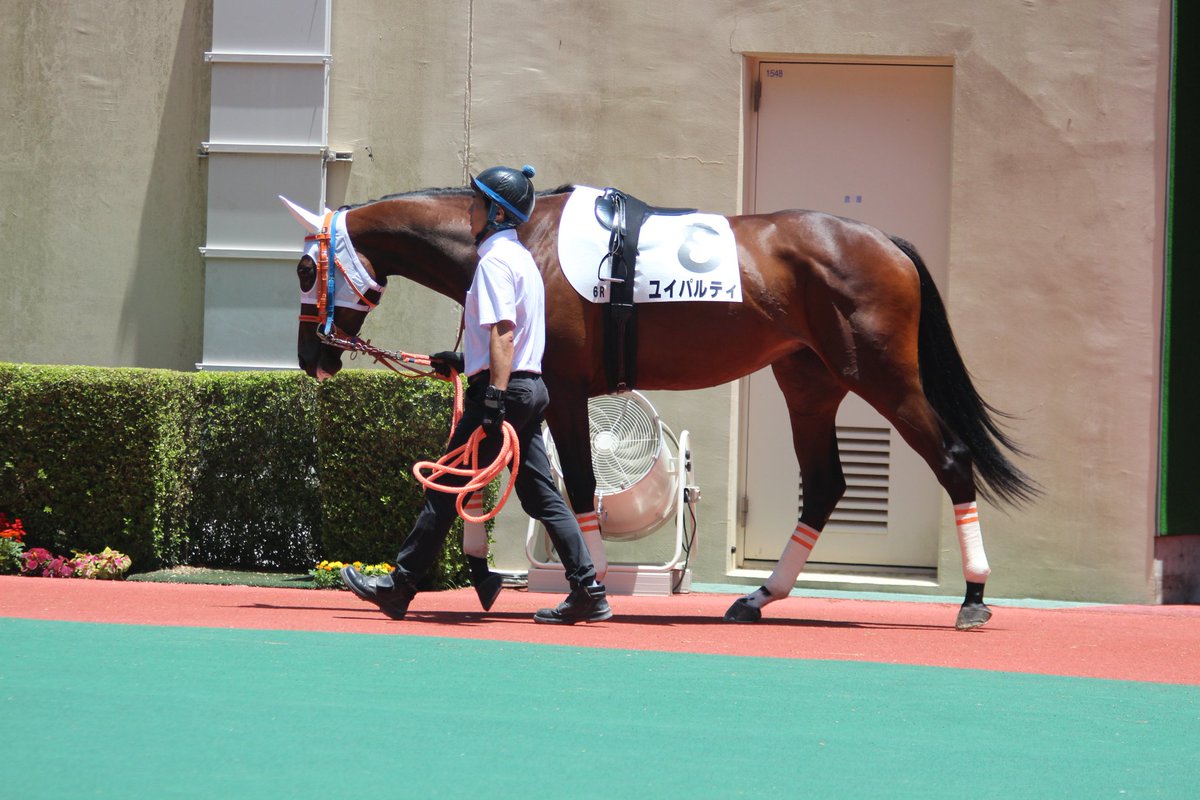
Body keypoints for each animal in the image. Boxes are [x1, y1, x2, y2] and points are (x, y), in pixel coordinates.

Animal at [288, 184, 1037, 630]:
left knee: (951, 456)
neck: (515, 239)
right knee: (825, 484)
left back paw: (974, 597)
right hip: (809, 382)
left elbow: (571, 486)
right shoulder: (524, 390)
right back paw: (759, 597)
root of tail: (888, 244)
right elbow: (474, 469)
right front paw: (458, 575)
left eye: (302, 269)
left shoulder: (562, 388)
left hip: (882, 374)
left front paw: (583, 592)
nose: (312, 357)